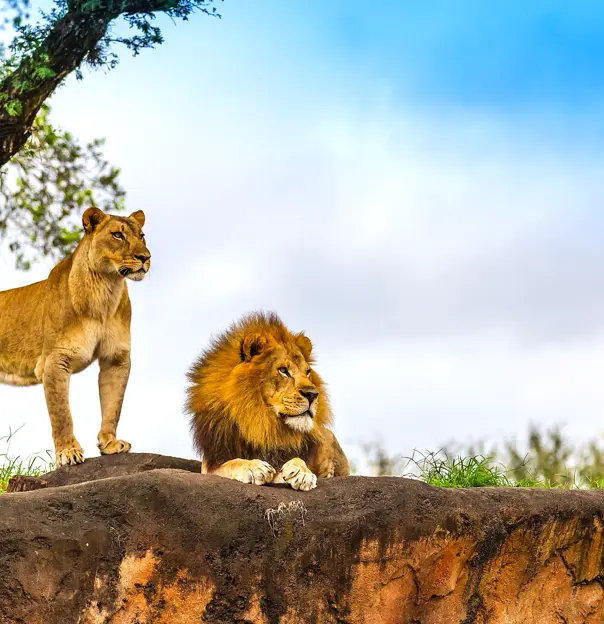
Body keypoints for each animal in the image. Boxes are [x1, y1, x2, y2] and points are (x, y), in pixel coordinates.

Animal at [0, 207, 150, 466]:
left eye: (142, 236)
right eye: (117, 235)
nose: (145, 257)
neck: (105, 292)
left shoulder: (117, 358)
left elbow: (113, 405)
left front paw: (110, 443)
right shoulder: (54, 360)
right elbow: (62, 413)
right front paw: (68, 452)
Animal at [186, 314, 352, 490]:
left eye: (307, 372)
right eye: (283, 370)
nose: (313, 395)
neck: (265, 425)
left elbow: (296, 462)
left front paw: (301, 472)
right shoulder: (210, 465)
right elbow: (232, 463)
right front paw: (253, 466)